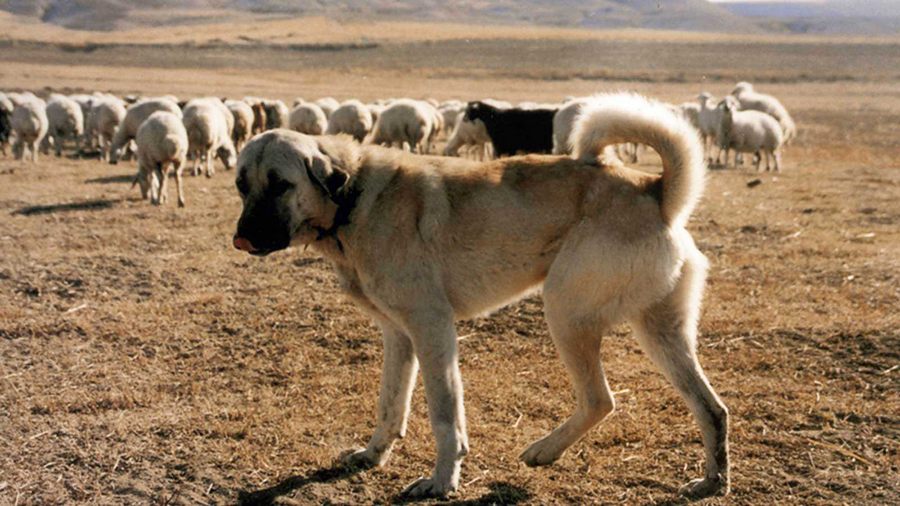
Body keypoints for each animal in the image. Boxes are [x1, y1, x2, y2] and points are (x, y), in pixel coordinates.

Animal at [232, 93, 732, 500]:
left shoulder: (433, 331)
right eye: (241, 185)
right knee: (712, 408)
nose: (240, 239)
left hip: (565, 313)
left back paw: (543, 451)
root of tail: (656, 191)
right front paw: (374, 456)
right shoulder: (399, 336)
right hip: (661, 332)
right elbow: (390, 405)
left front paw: (441, 482)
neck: (354, 197)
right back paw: (712, 482)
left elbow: (445, 416)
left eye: (281, 184)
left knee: (600, 400)